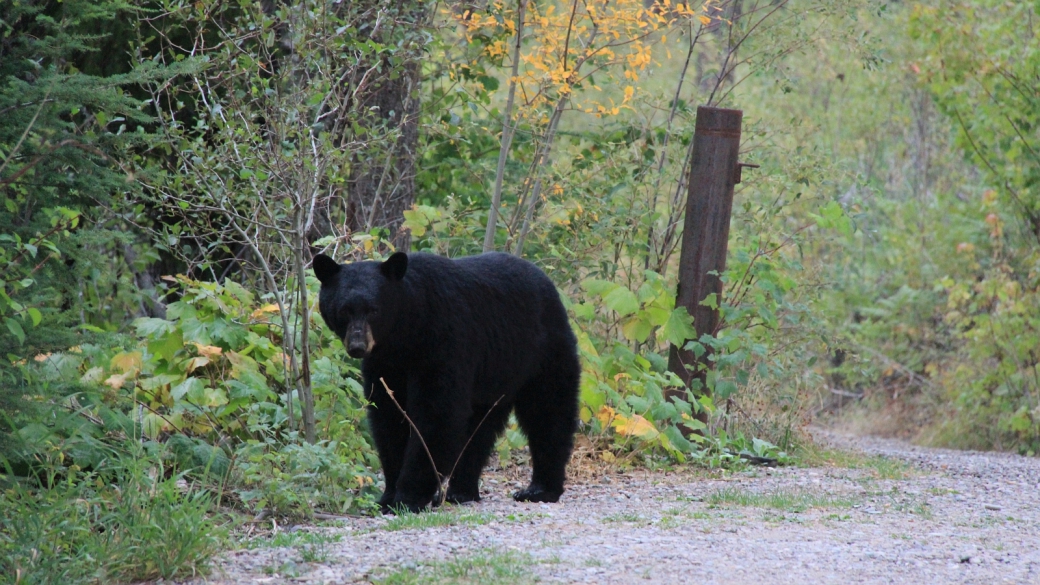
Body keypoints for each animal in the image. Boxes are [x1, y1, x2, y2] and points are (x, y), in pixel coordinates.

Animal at [312, 250, 582, 510]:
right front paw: (388, 495)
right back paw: (462, 491)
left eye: (374, 310)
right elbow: (389, 416)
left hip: (541, 352)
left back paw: (539, 489)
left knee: (548, 412)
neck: (406, 333)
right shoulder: (385, 364)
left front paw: (408, 497)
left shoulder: (443, 339)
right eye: (344, 310)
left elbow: (436, 412)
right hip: (495, 376)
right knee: (480, 429)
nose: (358, 346)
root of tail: (548, 283)